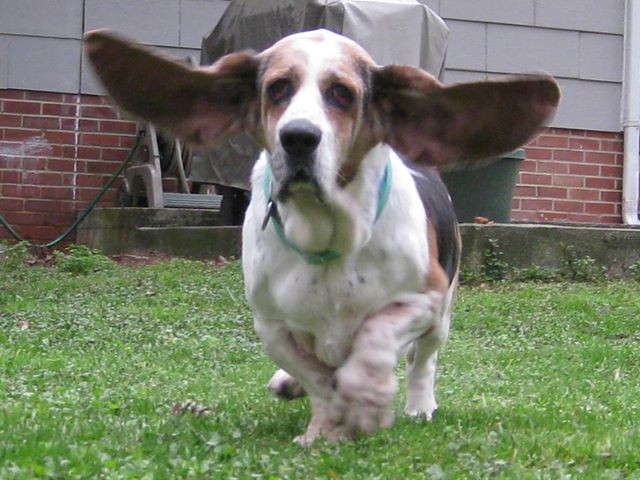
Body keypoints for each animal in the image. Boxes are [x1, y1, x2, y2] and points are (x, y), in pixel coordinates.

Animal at [86, 28, 560, 444]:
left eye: (342, 94)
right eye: (278, 88)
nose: (298, 137)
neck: (327, 236)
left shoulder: (422, 299)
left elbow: (375, 338)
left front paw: (366, 396)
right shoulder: (272, 325)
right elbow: (317, 378)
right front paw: (322, 423)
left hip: (441, 316)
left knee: (421, 360)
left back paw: (419, 405)